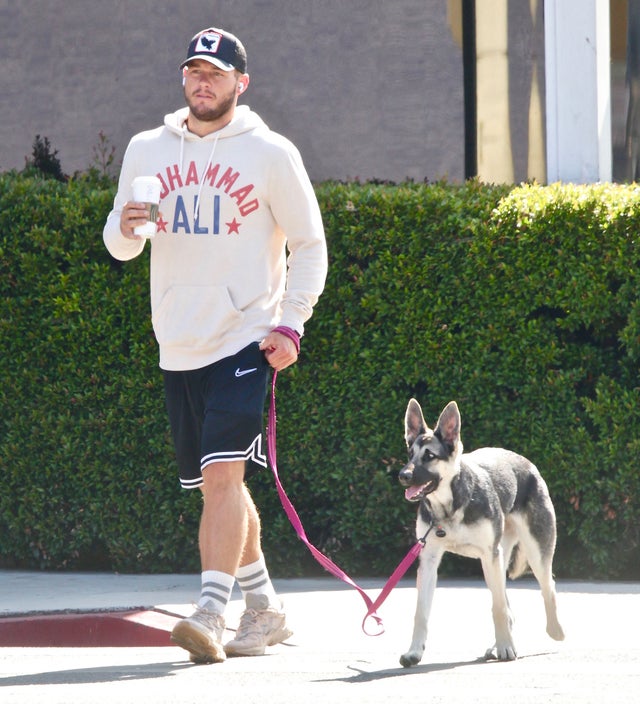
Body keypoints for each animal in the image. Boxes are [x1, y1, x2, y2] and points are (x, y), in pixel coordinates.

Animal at [400, 398, 564, 668]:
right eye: (409, 454)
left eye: (430, 456)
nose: (403, 475)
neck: (450, 506)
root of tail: (528, 463)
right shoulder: (429, 561)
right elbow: (421, 613)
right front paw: (414, 652)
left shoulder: (490, 555)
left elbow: (497, 608)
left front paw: (507, 648)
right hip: (496, 562)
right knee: (507, 604)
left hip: (531, 554)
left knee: (546, 586)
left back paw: (554, 630)